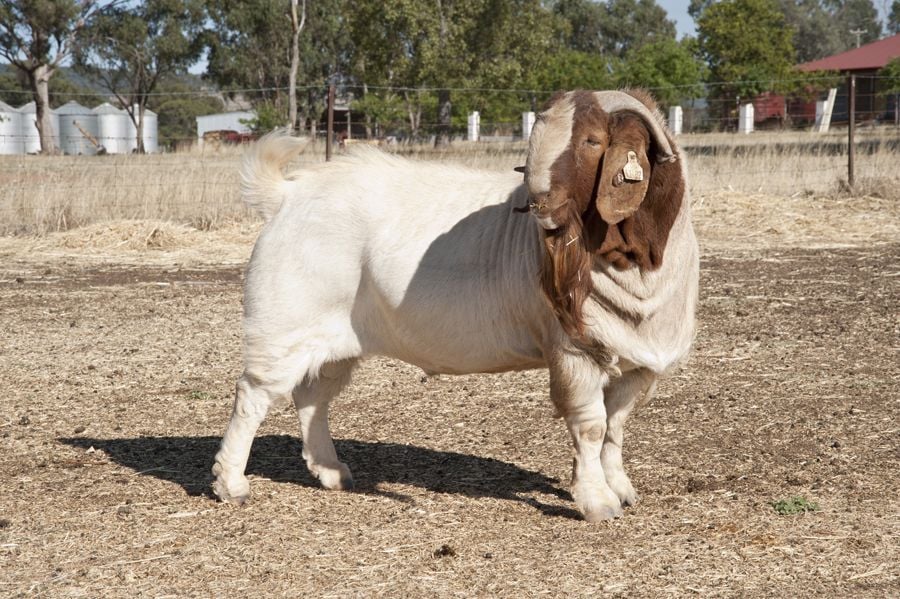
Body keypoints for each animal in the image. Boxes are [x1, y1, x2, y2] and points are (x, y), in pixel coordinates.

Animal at [212, 89, 698, 521]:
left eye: (593, 141)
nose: (536, 203)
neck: (636, 264)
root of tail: (286, 195)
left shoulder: (640, 364)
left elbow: (616, 426)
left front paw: (621, 488)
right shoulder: (574, 352)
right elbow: (592, 426)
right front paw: (598, 502)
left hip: (336, 341)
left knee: (312, 397)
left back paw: (330, 471)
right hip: (282, 326)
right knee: (253, 396)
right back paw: (230, 483)